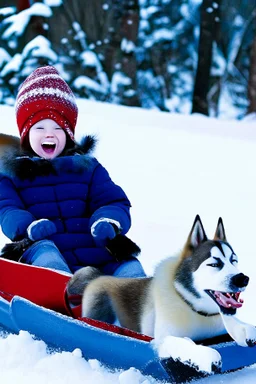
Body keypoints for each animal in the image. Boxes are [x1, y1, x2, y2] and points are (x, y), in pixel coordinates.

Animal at [67, 214, 255, 370]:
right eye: (214, 264)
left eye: (234, 261)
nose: (242, 278)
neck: (194, 309)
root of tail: (98, 276)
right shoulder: (164, 337)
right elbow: (180, 344)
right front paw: (205, 355)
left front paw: (246, 331)